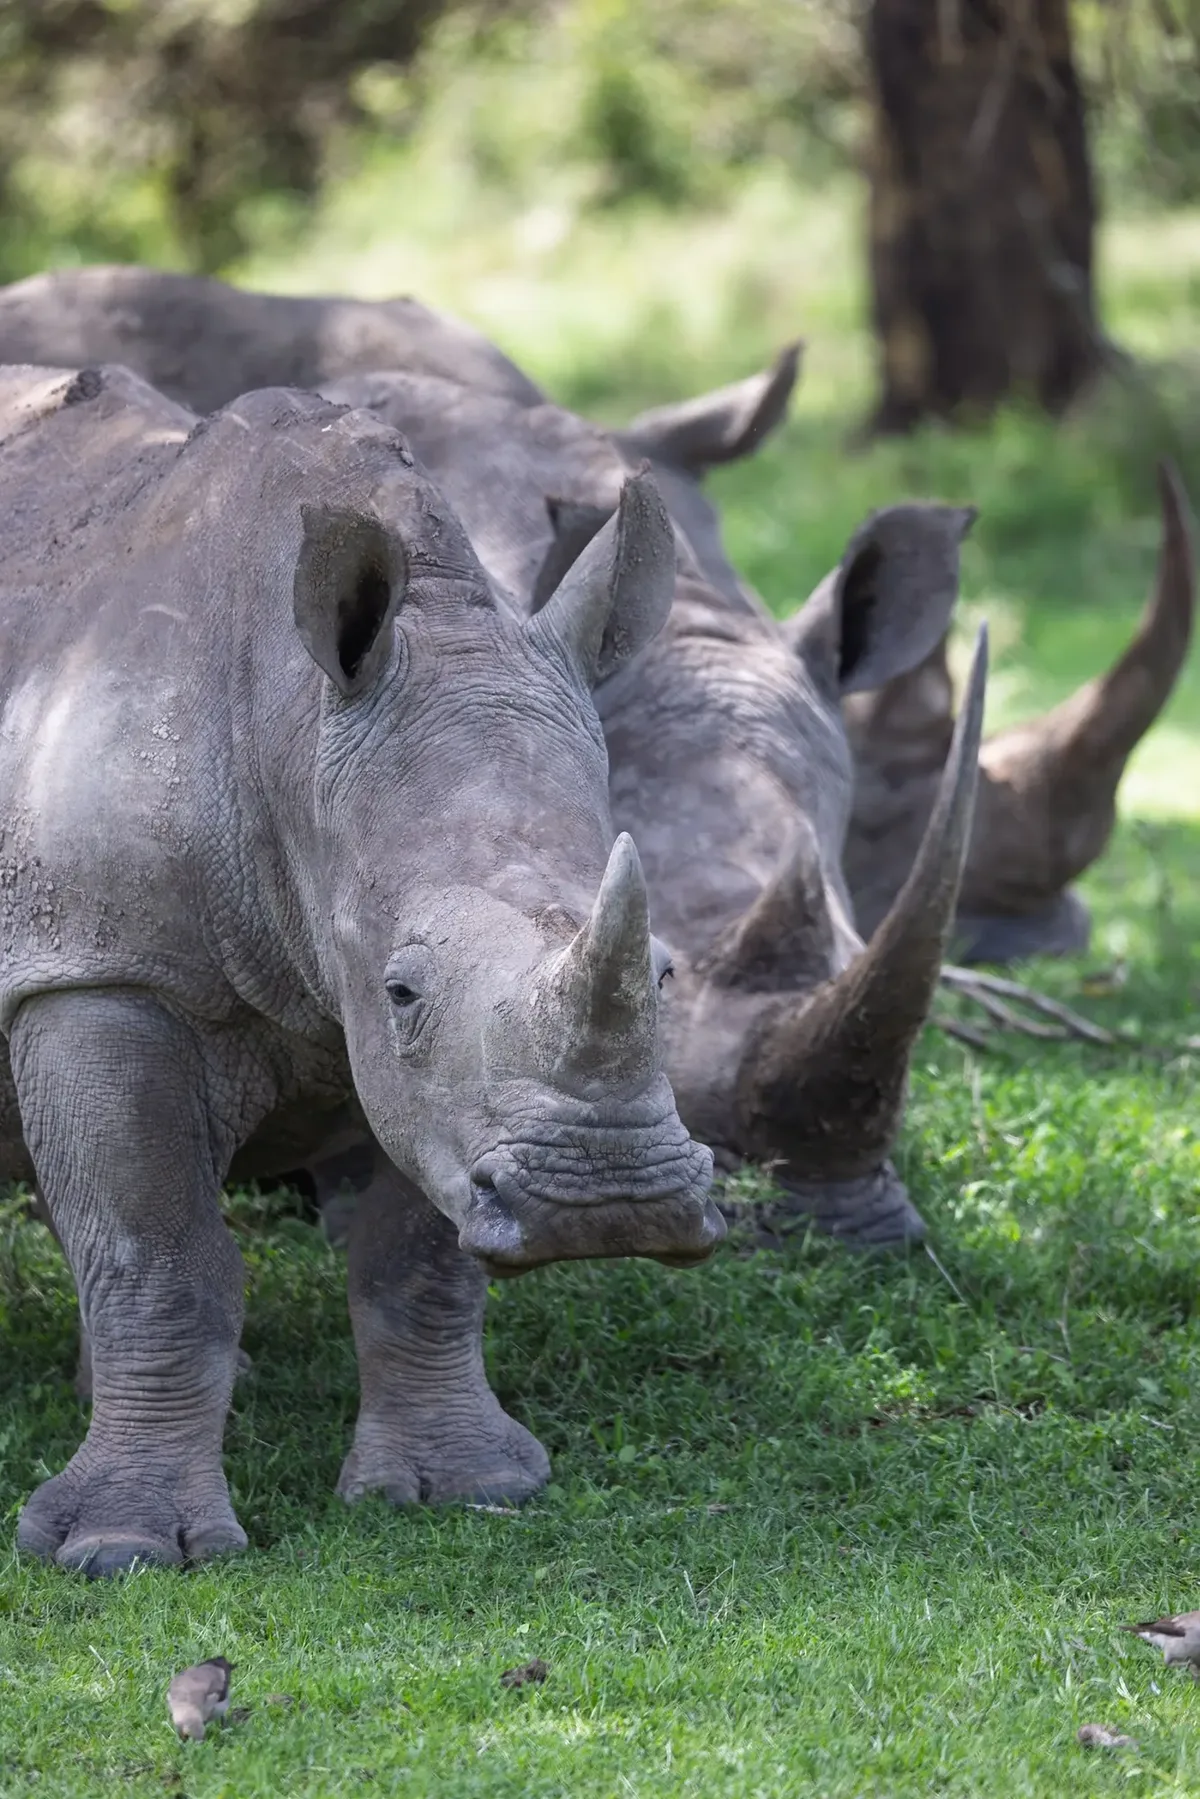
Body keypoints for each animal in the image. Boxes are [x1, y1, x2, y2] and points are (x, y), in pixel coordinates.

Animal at [0, 362, 720, 1574]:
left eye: (666, 972)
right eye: (401, 988)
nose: (607, 1203)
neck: (287, 730)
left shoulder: (429, 1085)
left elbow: (417, 1252)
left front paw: (460, 1487)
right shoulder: (103, 968)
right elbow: (157, 1253)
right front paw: (123, 1550)